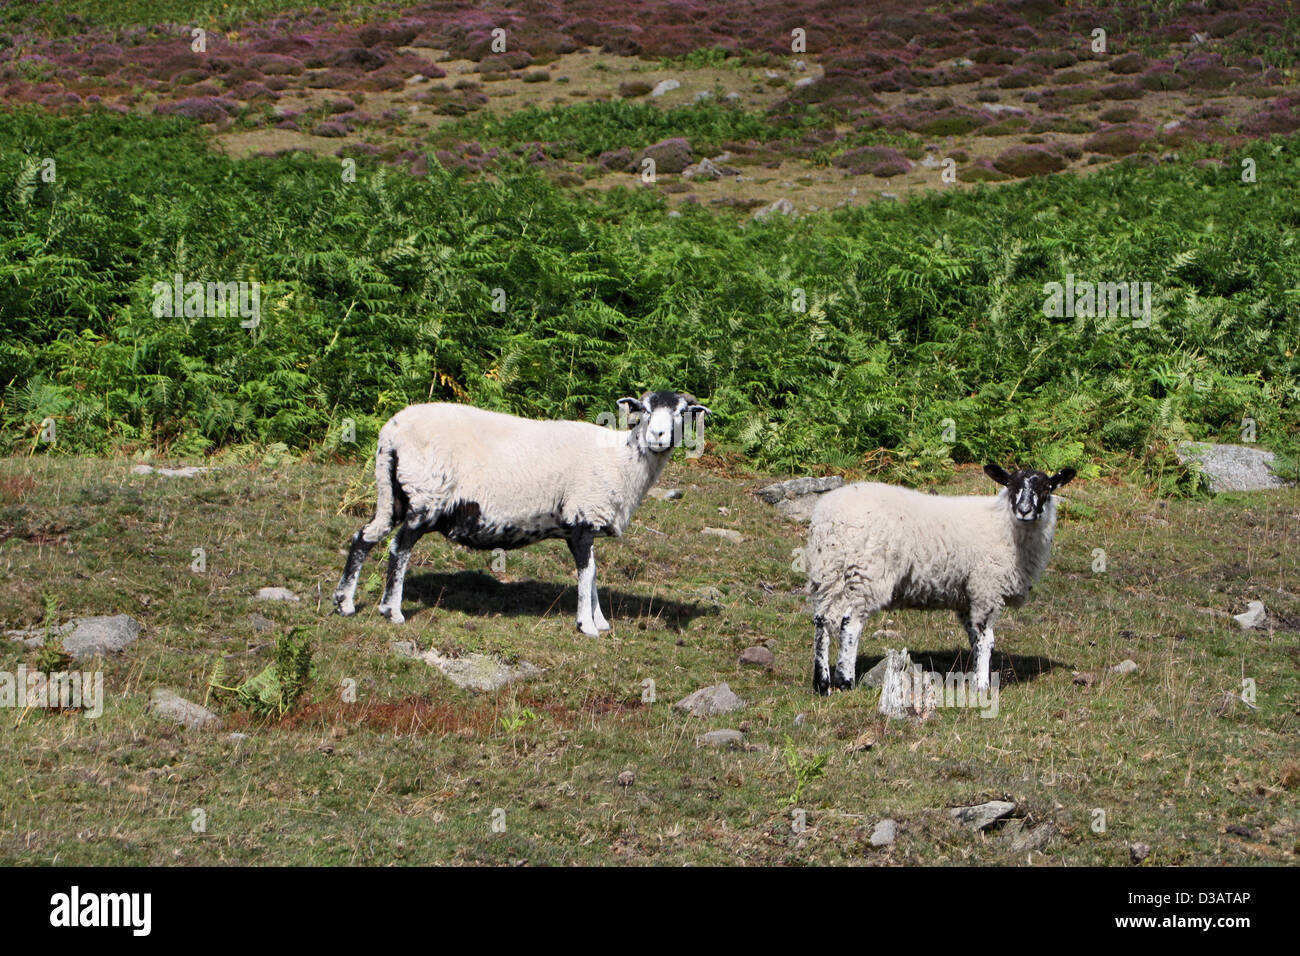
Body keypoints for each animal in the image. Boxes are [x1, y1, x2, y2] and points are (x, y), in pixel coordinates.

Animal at [333, 390, 709, 634]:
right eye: (644, 409)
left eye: (681, 412)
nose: (658, 435)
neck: (620, 460)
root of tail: (390, 433)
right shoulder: (582, 517)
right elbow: (588, 573)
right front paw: (587, 625)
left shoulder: (583, 523)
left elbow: (594, 574)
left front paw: (600, 620)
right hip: (426, 497)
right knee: (399, 549)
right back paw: (392, 610)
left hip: (395, 494)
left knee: (363, 537)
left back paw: (345, 603)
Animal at [806, 464, 1076, 696]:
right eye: (1010, 485)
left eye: (1046, 488)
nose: (1024, 511)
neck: (1004, 525)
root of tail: (829, 516)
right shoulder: (986, 589)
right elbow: (986, 640)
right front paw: (983, 685)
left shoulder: (968, 596)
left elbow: (975, 639)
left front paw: (975, 677)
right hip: (866, 573)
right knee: (849, 623)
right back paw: (845, 681)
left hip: (829, 572)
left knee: (822, 621)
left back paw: (822, 683)